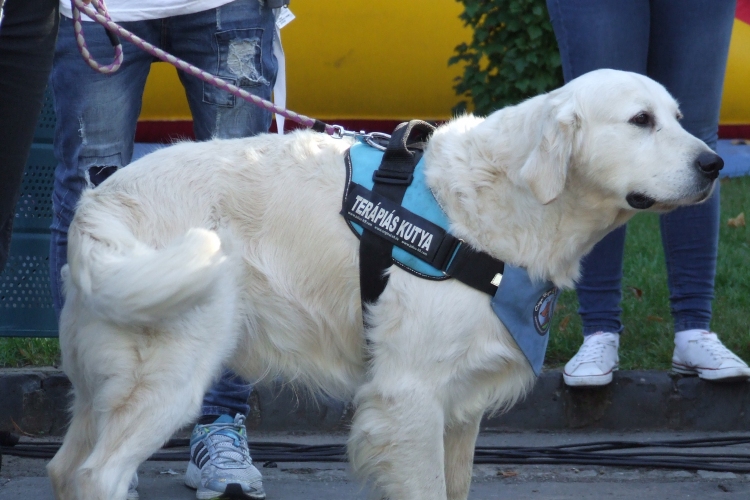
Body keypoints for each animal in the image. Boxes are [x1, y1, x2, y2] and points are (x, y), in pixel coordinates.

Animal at [45, 67, 724, 500]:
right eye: (640, 120)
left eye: (677, 117)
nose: (715, 163)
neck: (510, 199)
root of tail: (100, 202)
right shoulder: (408, 395)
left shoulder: (459, 404)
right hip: (170, 372)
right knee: (98, 475)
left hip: (99, 385)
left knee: (62, 469)